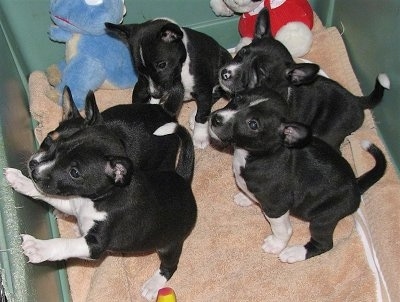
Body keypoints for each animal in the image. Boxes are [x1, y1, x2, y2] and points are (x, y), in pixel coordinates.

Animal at [3, 91, 197, 300]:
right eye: (51, 142)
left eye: (74, 172)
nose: (34, 171)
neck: (98, 200)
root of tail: (183, 180)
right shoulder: (74, 203)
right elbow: (52, 196)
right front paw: (22, 181)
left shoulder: (95, 244)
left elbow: (64, 244)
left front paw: (38, 247)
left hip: (170, 244)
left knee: (171, 265)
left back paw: (153, 285)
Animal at [105, 18, 231, 148]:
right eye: (140, 70)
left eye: (162, 65)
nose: (155, 94)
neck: (181, 69)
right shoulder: (142, 86)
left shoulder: (203, 90)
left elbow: (202, 114)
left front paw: (200, 136)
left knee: (214, 96)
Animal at [208, 89, 386, 262]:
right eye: (237, 98)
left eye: (253, 124)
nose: (216, 119)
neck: (259, 155)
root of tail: (356, 185)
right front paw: (245, 197)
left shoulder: (277, 206)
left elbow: (282, 229)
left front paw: (276, 244)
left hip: (324, 218)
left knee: (324, 244)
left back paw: (295, 253)